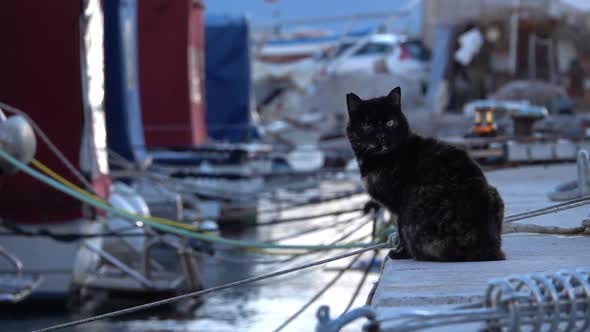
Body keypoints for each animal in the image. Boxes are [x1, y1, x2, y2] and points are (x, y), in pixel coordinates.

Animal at [350, 87, 506, 262]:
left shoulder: (400, 205)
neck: (381, 158)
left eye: (390, 123)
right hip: (494, 192)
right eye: (367, 125)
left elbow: (401, 230)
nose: (381, 136)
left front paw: (400, 253)